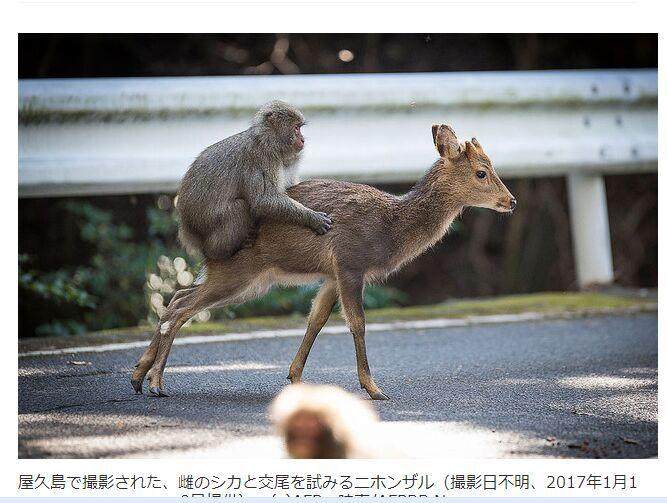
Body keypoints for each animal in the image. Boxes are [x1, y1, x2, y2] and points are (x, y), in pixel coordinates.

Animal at [130, 125, 516, 402]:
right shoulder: (349, 261)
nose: (511, 200)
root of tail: (202, 241)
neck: (389, 227)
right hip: (239, 270)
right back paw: (156, 383)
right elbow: (357, 323)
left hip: (248, 279)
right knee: (180, 307)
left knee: (177, 298)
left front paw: (295, 378)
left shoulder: (331, 274)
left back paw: (138, 375)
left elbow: (315, 320)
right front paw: (374, 389)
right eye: (482, 172)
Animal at [177, 101, 334, 262]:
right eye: (296, 128)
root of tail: (187, 229)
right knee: (239, 207)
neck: (268, 141)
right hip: (206, 225)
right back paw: (220, 252)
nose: (303, 139)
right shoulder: (262, 159)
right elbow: (263, 201)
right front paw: (312, 218)